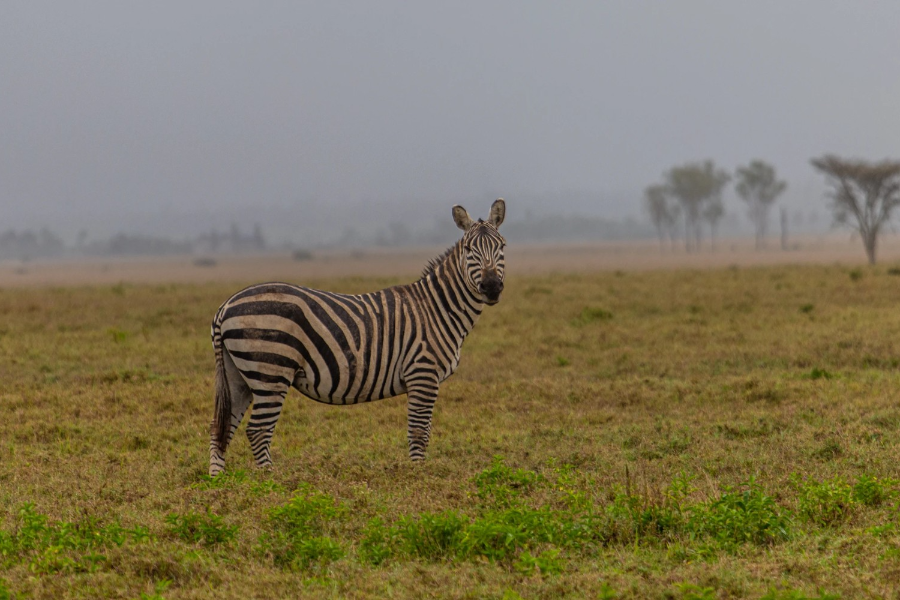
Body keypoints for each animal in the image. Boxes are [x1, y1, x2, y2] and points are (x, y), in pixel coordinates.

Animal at [209, 199, 506, 476]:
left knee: (220, 428)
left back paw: (218, 483)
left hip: (239, 376)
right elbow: (419, 433)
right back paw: (270, 479)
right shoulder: (423, 374)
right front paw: (418, 476)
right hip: (271, 371)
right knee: (257, 430)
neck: (437, 308)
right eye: (469, 250)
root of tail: (225, 306)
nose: (491, 286)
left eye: (502, 246)